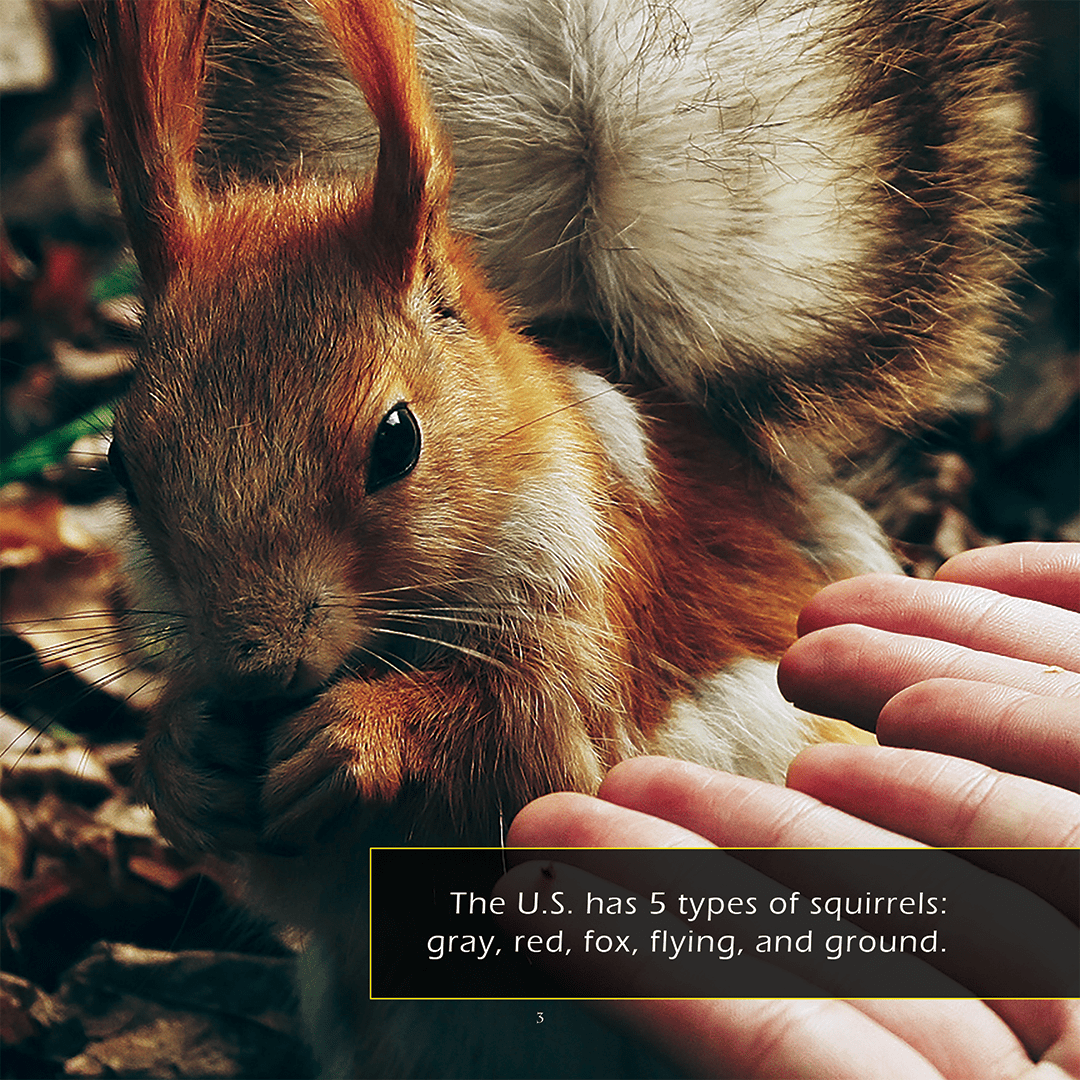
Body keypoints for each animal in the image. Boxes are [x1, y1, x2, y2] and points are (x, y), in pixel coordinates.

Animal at [87, 0, 1029, 1076]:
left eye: (397, 439)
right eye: (121, 458)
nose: (257, 666)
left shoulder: (598, 594)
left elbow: (534, 739)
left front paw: (361, 734)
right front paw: (181, 758)